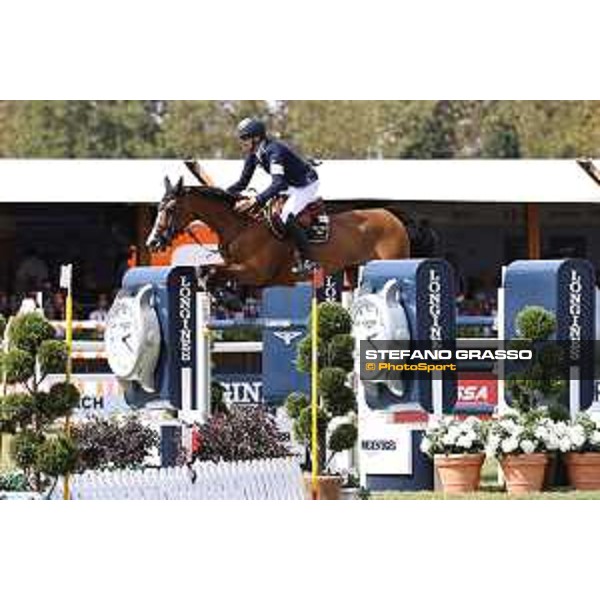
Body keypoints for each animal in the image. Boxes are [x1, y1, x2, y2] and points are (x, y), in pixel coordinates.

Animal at [145, 162, 436, 288]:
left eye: (170, 209)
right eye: (158, 208)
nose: (152, 242)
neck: (240, 226)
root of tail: (392, 216)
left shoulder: (255, 273)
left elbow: (214, 273)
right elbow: (208, 271)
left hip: (393, 260)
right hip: (354, 271)